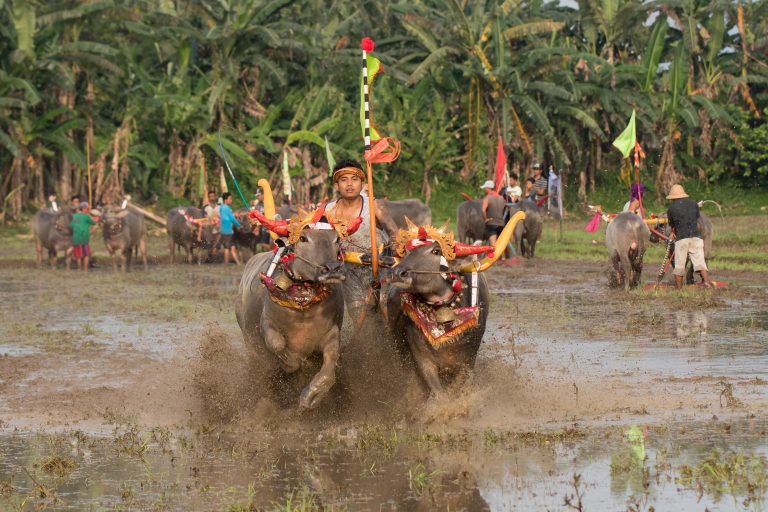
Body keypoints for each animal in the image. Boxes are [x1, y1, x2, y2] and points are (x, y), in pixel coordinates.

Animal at [234, 207, 360, 408]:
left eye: (337, 239)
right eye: (303, 238)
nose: (332, 269)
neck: (303, 306)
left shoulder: (332, 332)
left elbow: (330, 365)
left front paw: (312, 395)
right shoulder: (267, 324)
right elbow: (278, 345)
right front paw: (290, 363)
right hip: (251, 347)